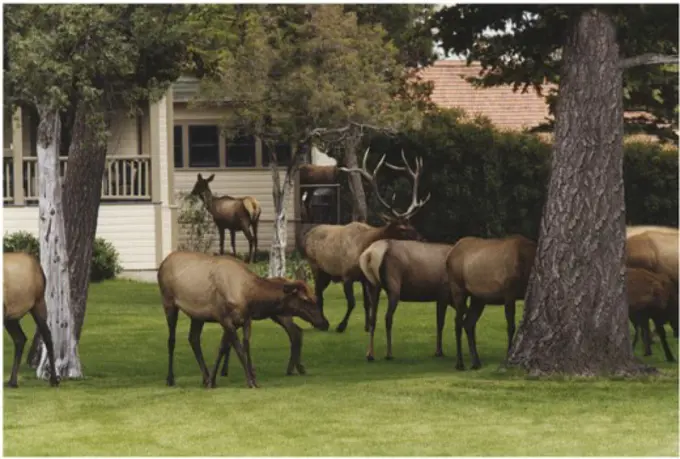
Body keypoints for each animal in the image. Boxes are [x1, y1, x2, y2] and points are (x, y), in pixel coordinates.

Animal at [3, 252, 59, 388]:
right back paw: (13, 381)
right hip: (11, 316)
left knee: (47, 335)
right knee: (20, 338)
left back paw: (54, 380)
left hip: (38, 303)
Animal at [158, 252, 330, 388]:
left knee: (193, 338)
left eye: (315, 298)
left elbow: (242, 346)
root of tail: (162, 264)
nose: (325, 323)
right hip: (168, 302)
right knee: (171, 340)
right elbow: (237, 348)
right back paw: (170, 379)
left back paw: (205, 377)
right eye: (306, 300)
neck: (248, 296)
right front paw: (250, 380)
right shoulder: (224, 318)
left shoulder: (245, 319)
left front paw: (216, 379)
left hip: (197, 316)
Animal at [302, 149, 430, 332]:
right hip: (316, 267)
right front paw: (341, 326)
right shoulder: (346, 274)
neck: (364, 247)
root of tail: (307, 235)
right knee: (318, 294)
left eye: (411, 223)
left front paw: (368, 325)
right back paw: (322, 324)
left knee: (318, 293)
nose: (422, 238)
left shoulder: (365, 278)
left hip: (327, 273)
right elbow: (352, 303)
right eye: (402, 228)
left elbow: (367, 303)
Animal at [446, 235, 536, 372]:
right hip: (458, 289)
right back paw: (460, 363)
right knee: (458, 322)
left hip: (478, 298)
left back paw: (476, 362)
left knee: (468, 323)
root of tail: (449, 255)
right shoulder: (509, 292)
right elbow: (511, 326)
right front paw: (506, 360)